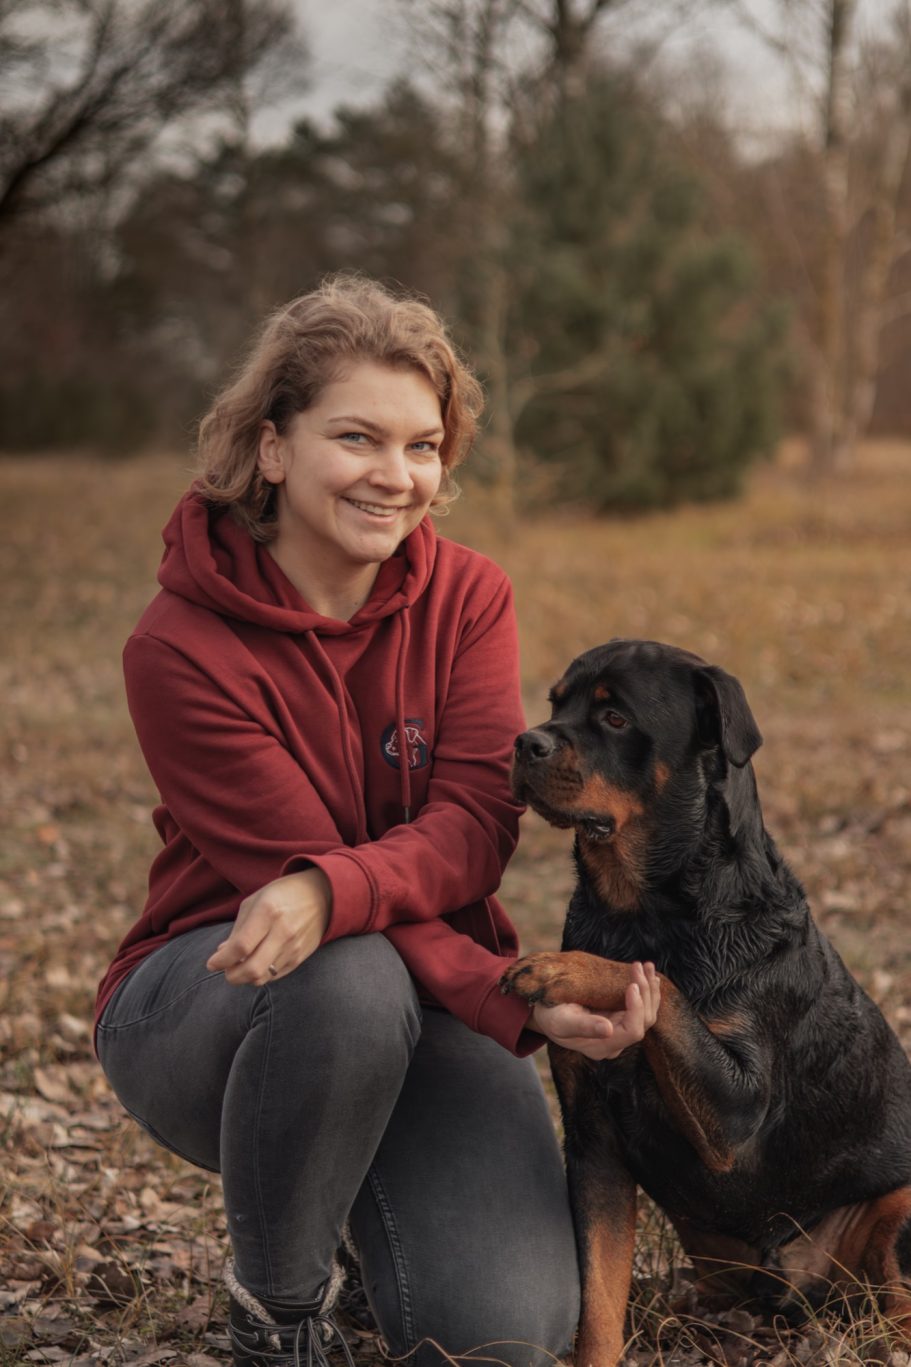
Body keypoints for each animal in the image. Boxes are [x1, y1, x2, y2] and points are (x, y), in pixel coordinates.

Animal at [500, 639, 911, 1367]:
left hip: (899, 1208)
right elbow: (598, 1298)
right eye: (556, 703)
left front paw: (564, 967)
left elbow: (658, 982)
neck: (639, 910)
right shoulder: (592, 1139)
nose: (525, 741)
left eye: (613, 716)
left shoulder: (736, 1111)